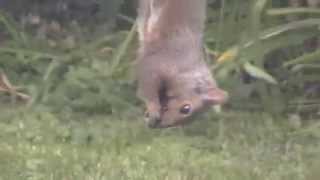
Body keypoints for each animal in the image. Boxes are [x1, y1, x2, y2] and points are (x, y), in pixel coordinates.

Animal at [135, 0, 228, 128]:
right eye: (185, 108)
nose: (162, 126)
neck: (184, 70)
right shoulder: (156, 63)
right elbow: (148, 87)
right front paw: (153, 109)